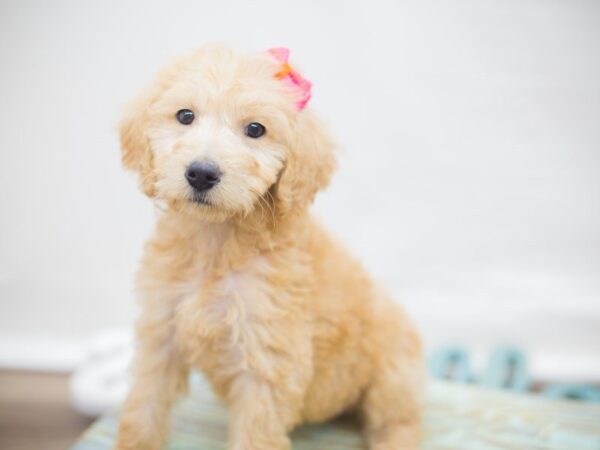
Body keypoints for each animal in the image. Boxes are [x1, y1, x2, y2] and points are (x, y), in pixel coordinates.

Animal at [115, 45, 424, 450]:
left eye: (255, 129)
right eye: (185, 116)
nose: (201, 173)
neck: (217, 242)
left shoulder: (267, 359)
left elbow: (255, 434)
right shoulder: (161, 332)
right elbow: (143, 408)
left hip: (393, 372)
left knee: (399, 421)